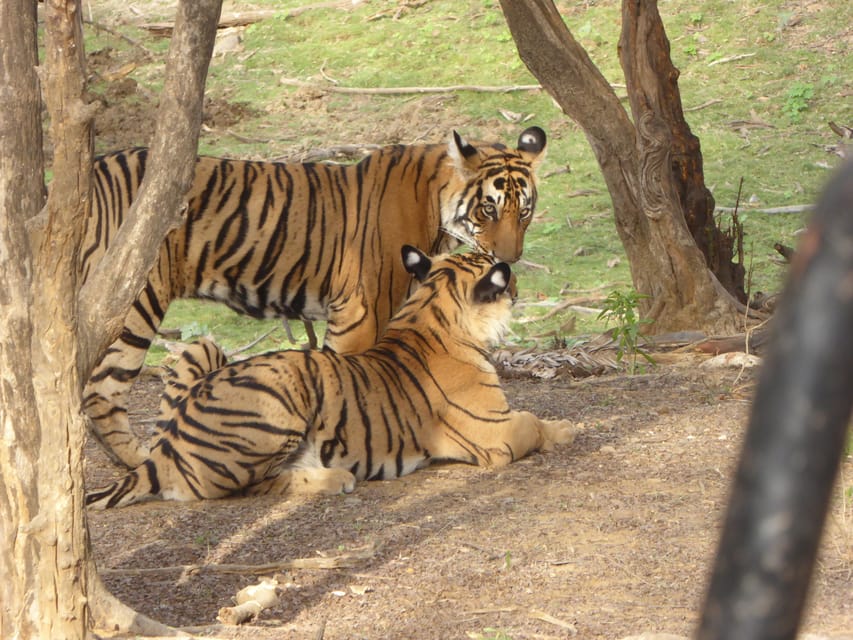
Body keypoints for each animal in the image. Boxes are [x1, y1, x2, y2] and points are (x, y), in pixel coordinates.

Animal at [81, 127, 547, 469]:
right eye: (488, 208)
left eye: (523, 210)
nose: (509, 260)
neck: (437, 202)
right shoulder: (363, 310)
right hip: (133, 300)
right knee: (100, 390)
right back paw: (138, 458)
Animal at [85, 246, 577, 509]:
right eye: (503, 279)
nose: (517, 285)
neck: (431, 308)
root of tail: (163, 451)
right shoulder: (495, 432)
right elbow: (532, 422)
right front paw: (569, 429)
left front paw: (566, 425)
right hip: (279, 399)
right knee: (252, 485)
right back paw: (335, 478)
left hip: (206, 350)